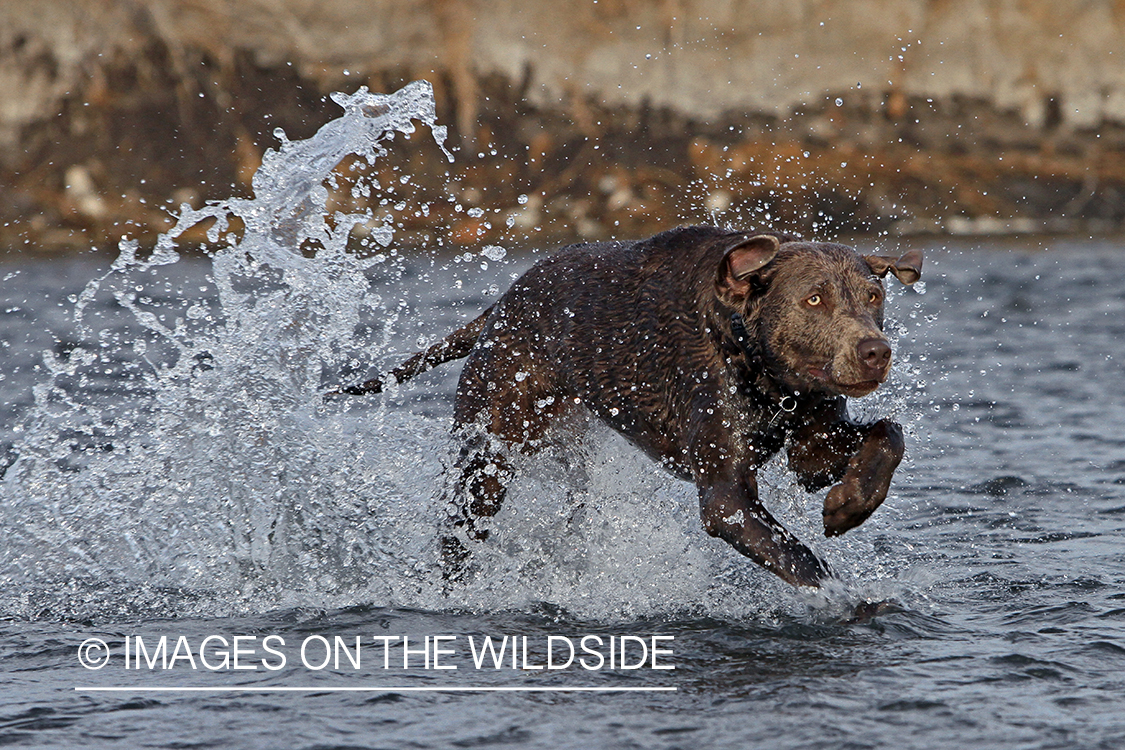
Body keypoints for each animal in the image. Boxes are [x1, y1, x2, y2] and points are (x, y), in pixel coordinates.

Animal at [342, 226, 922, 589]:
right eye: (814, 299)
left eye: (873, 296)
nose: (875, 351)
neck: (759, 369)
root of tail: (502, 304)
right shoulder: (726, 497)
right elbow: (799, 558)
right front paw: (847, 598)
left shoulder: (811, 445)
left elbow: (887, 435)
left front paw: (851, 502)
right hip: (491, 447)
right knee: (461, 527)